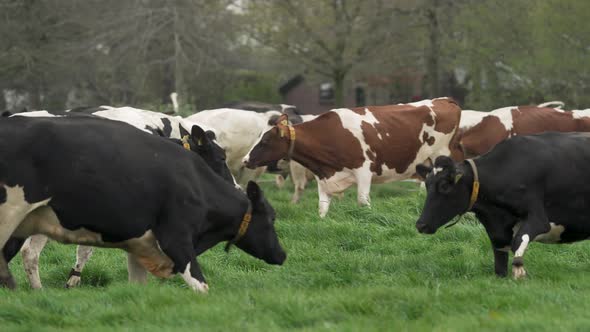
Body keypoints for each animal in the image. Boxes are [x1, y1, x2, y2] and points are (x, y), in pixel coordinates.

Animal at [240, 96, 462, 218]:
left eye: (265, 140)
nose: (245, 160)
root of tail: (444, 100)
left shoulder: (364, 170)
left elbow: (363, 201)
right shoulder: (324, 177)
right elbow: (322, 208)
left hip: (441, 155)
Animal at [414, 132, 590, 278]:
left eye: (444, 186)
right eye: (427, 185)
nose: (421, 225)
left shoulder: (539, 219)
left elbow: (518, 240)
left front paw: (519, 270)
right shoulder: (496, 230)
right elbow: (499, 263)